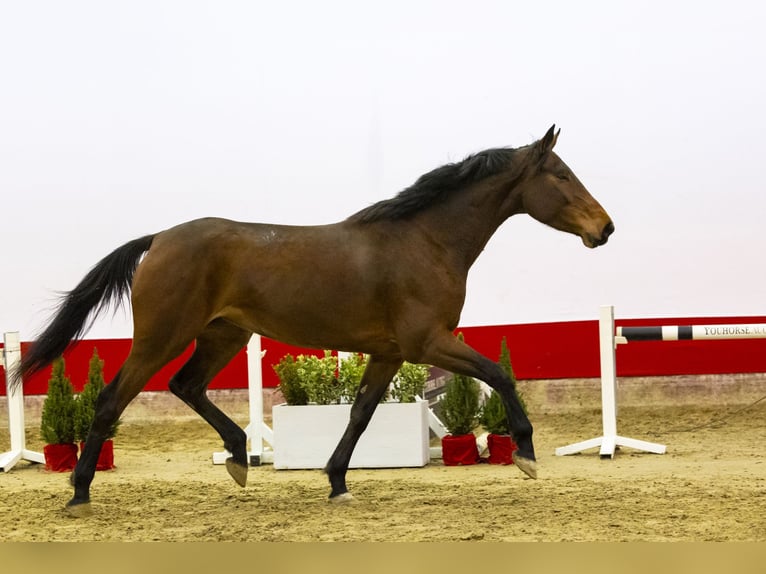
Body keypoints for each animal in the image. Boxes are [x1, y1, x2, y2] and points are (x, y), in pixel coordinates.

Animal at [16, 126, 612, 516]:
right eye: (562, 175)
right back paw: (79, 494)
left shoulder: (391, 352)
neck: (425, 241)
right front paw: (526, 453)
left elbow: (362, 414)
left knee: (186, 385)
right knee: (112, 399)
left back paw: (239, 458)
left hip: (223, 334)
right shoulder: (428, 342)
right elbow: (500, 373)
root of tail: (159, 238)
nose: (604, 228)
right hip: (161, 337)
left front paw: (338, 482)